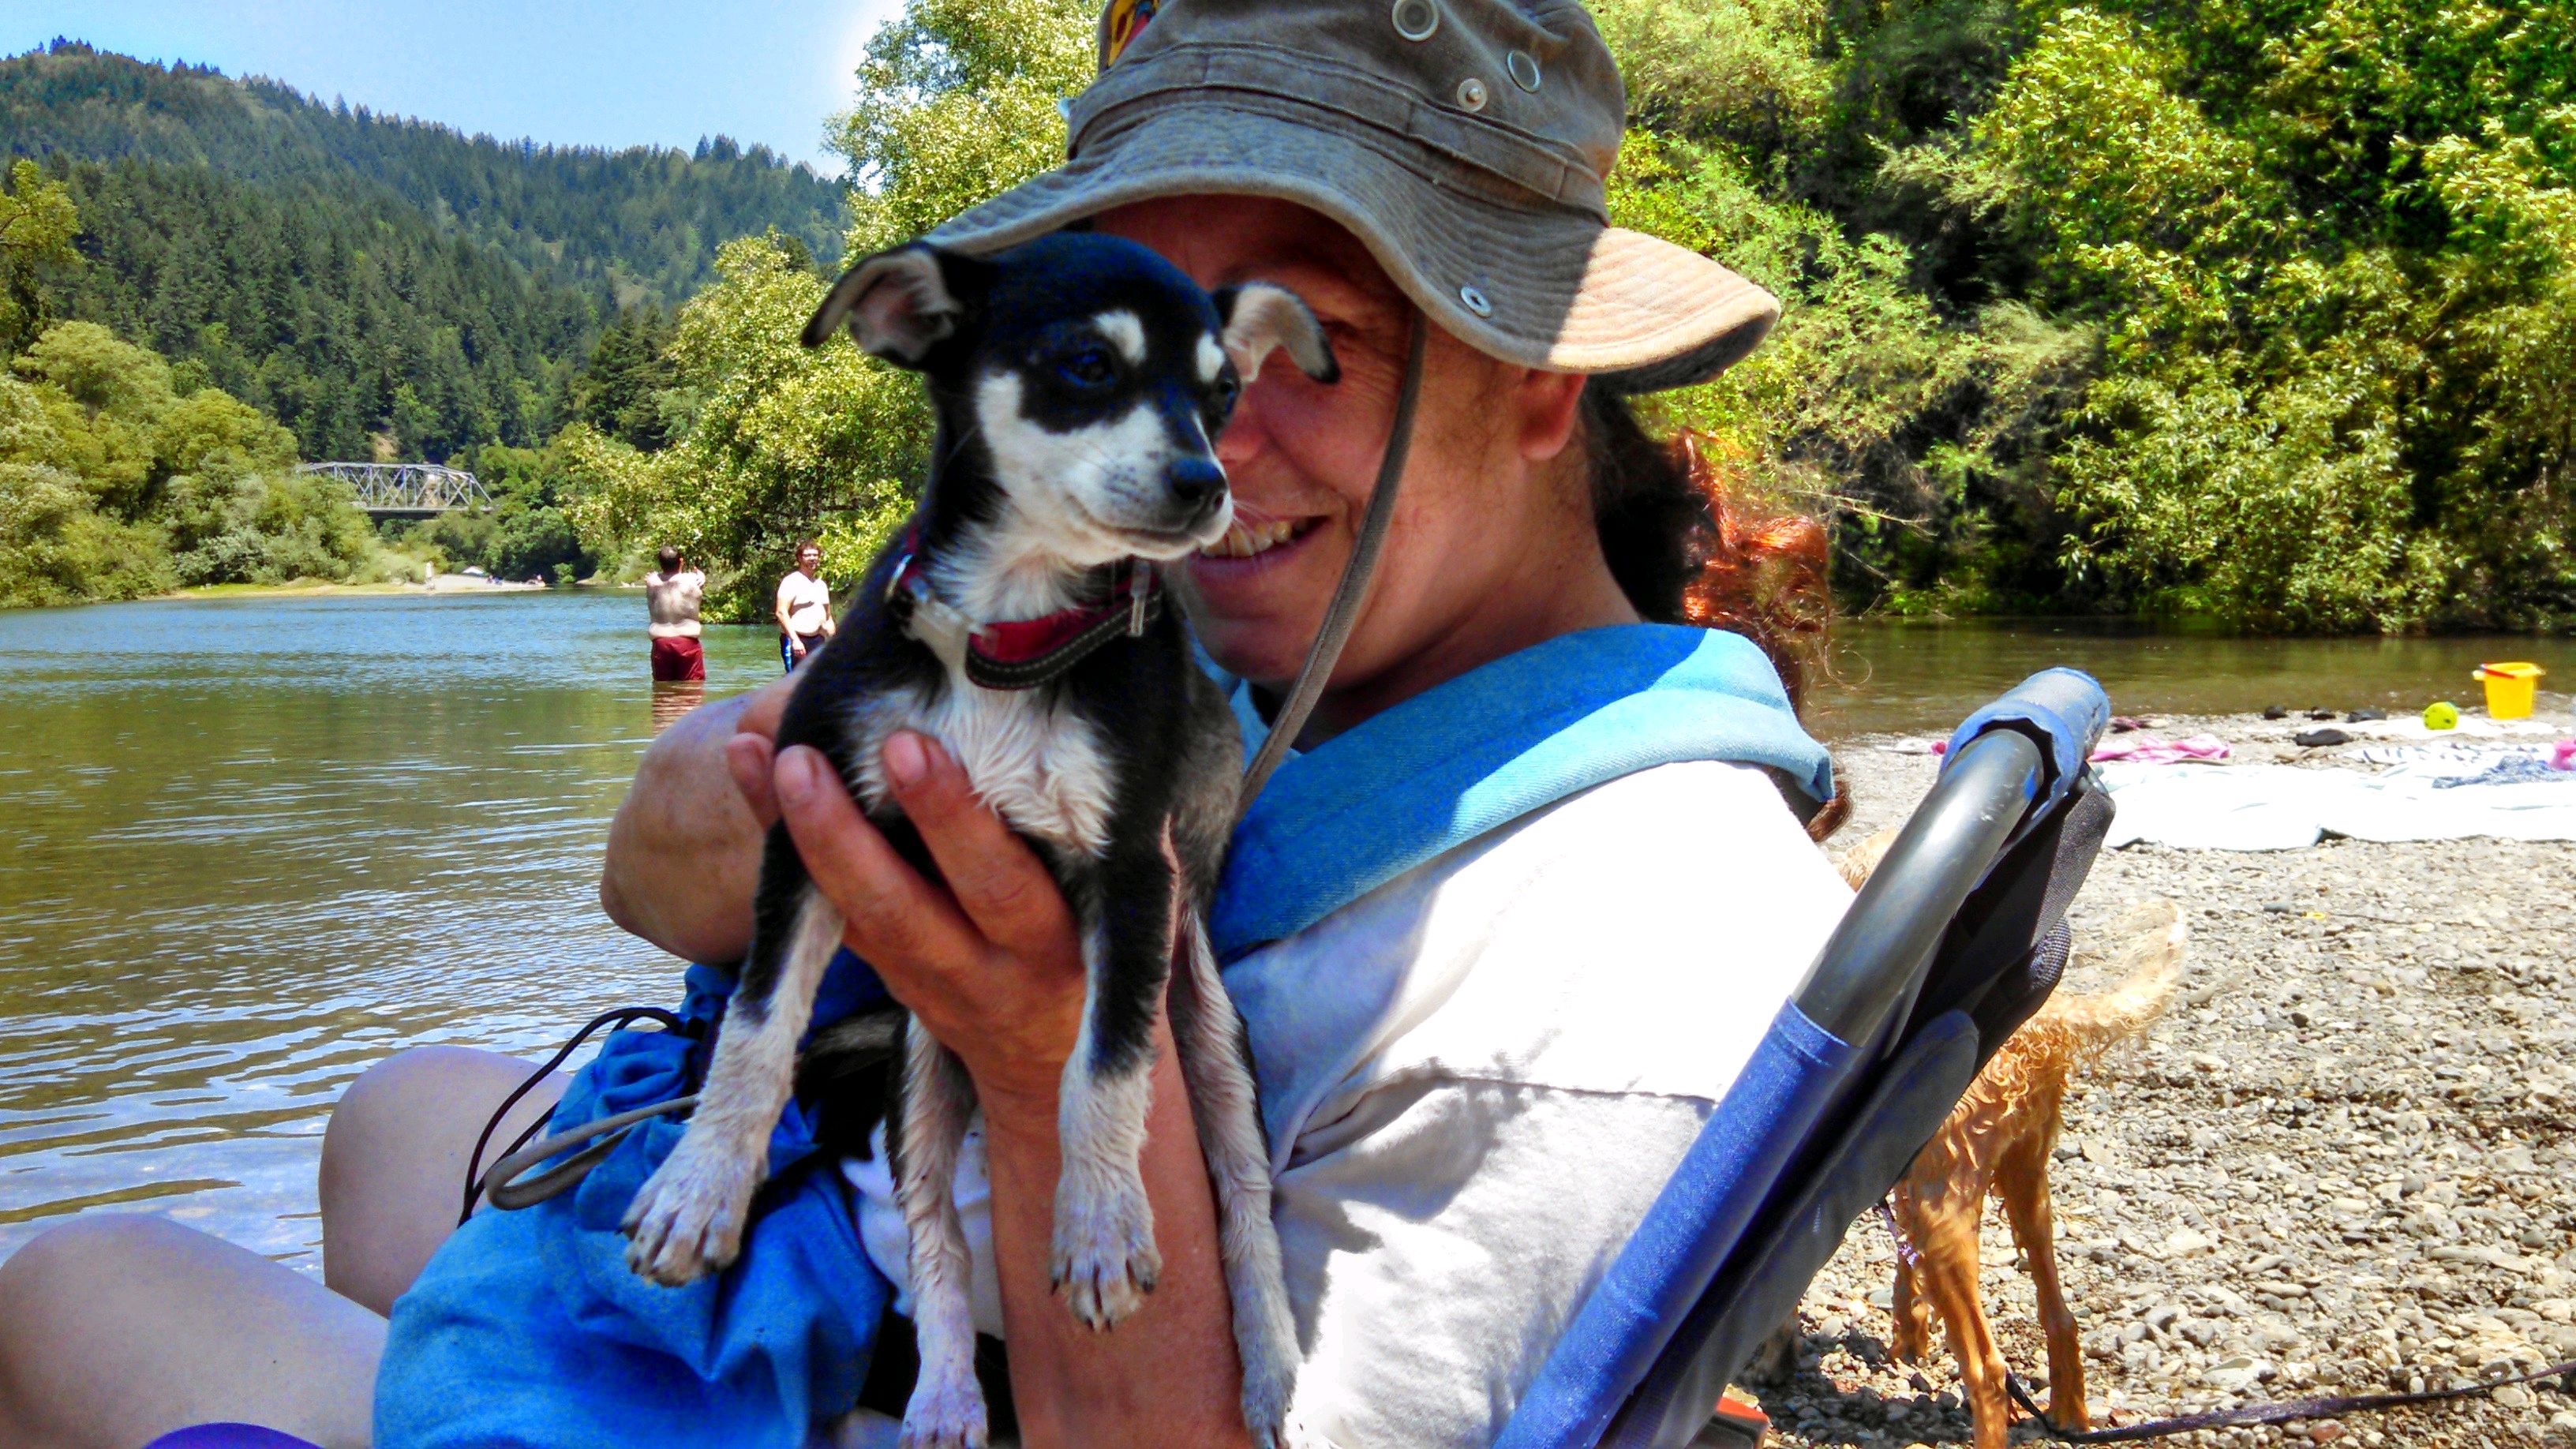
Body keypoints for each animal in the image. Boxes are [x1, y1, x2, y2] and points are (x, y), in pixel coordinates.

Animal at [617, 232, 1338, 1449]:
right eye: (1088, 365)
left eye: (1223, 396)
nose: (1208, 485)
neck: (1011, 627)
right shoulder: (806, 837)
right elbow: (756, 1029)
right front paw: (699, 1185)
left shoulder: (1133, 873)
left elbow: (1104, 1064)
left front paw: (1099, 1221)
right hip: (917, 1078)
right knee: (935, 1237)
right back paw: (948, 1392)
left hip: (1209, 1038)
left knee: (1242, 1200)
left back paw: (1278, 1376)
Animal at [1836, 823, 2186, 1449]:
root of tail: (2046, 1022)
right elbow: (1905, 1278)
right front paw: (1908, 1340)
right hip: (2022, 1182)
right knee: (2061, 1318)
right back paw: (2070, 1415)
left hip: (1948, 1215)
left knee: (1989, 1369)